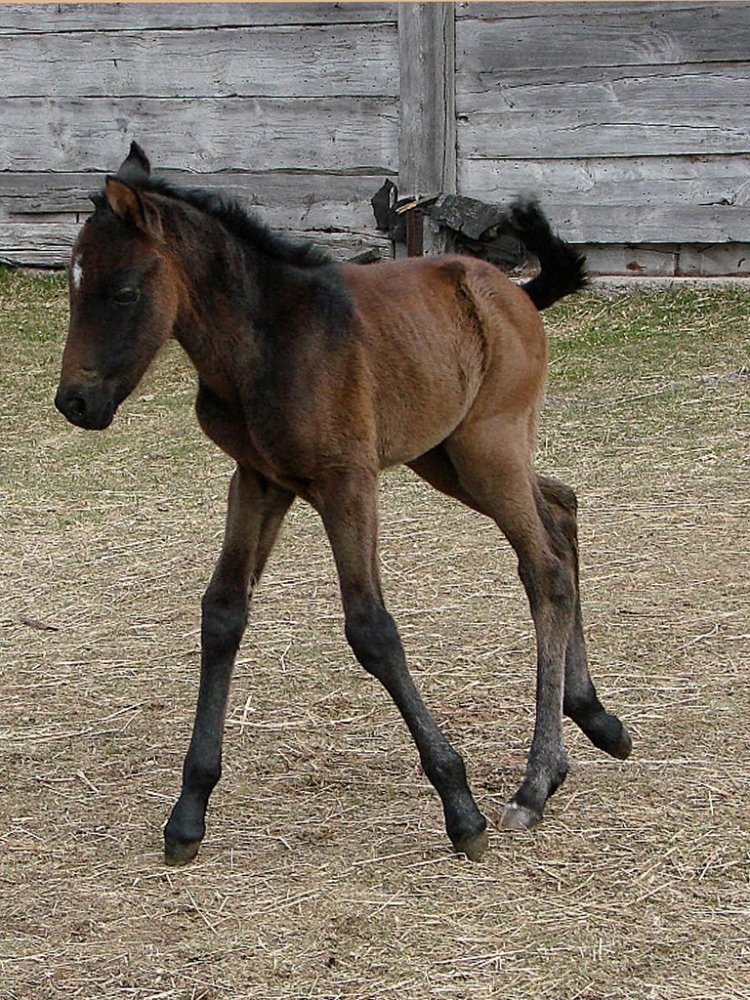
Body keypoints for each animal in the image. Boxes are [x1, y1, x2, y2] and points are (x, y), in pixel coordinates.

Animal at [55, 143, 632, 868]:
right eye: (72, 286)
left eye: (124, 290)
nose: (74, 403)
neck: (265, 345)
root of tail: (515, 292)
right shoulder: (258, 479)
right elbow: (223, 615)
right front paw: (188, 813)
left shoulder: (346, 484)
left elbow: (372, 630)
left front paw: (459, 806)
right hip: (447, 455)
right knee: (560, 509)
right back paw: (595, 720)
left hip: (487, 448)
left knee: (545, 570)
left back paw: (535, 781)